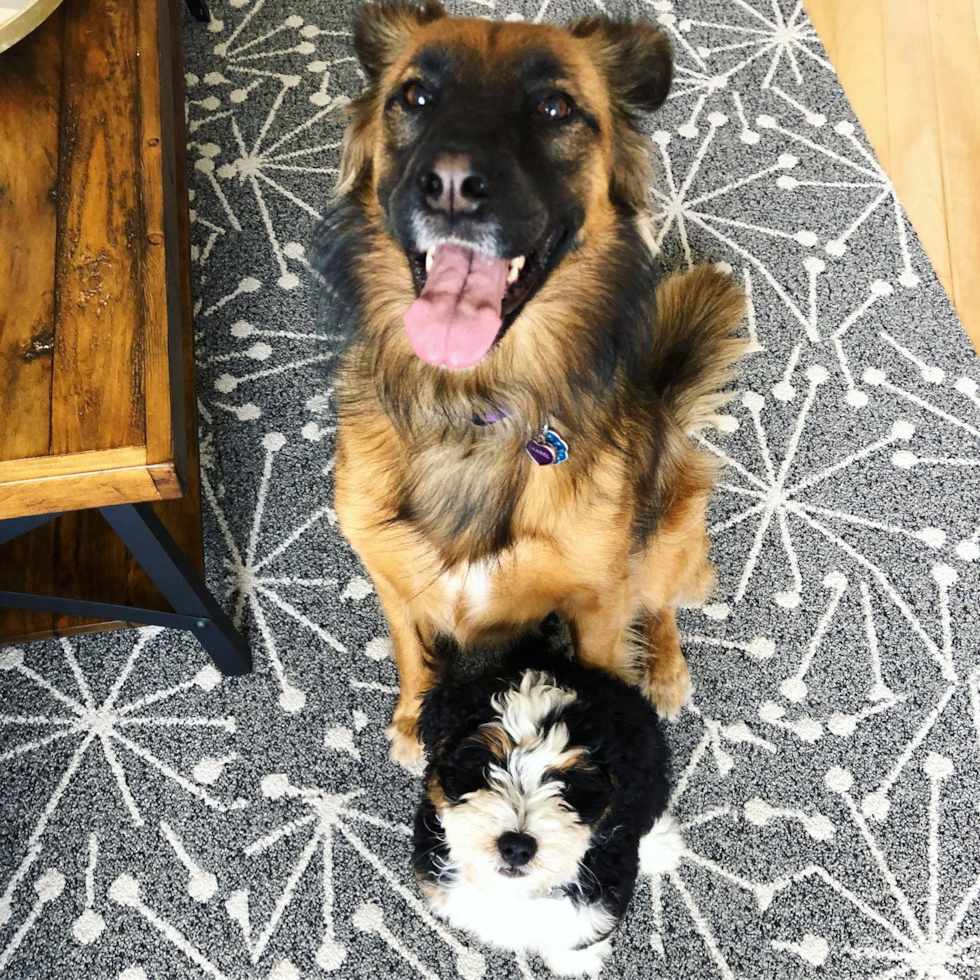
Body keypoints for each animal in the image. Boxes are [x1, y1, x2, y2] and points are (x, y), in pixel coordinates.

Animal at [314, 1, 744, 764]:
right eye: (415, 97)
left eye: (554, 107)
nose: (452, 185)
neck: (469, 406)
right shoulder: (389, 569)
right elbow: (411, 647)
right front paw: (413, 718)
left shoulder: (598, 599)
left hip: (667, 528)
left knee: (661, 598)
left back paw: (667, 668)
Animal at [412, 644, 680, 972]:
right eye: (486, 766)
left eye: (567, 786)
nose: (516, 847)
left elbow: (581, 931)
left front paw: (574, 961)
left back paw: (663, 845)